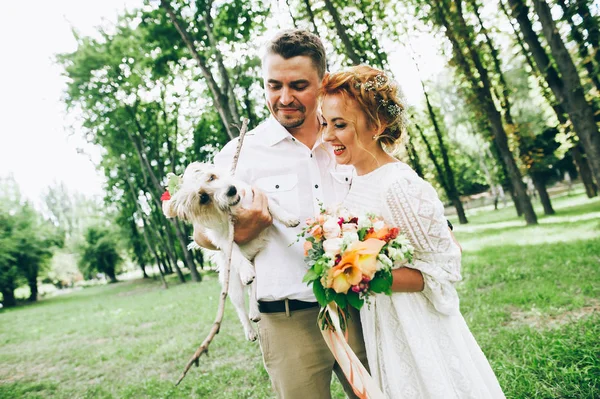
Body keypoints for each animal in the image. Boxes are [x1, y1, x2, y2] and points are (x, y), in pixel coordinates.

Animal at [162, 161, 300, 342]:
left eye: (212, 177)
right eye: (203, 198)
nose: (232, 190)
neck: (235, 208)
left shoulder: (257, 196)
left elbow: (274, 207)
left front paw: (289, 218)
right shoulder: (224, 239)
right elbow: (235, 253)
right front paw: (244, 269)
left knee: (253, 291)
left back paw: (254, 311)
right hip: (234, 287)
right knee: (241, 308)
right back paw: (249, 329)